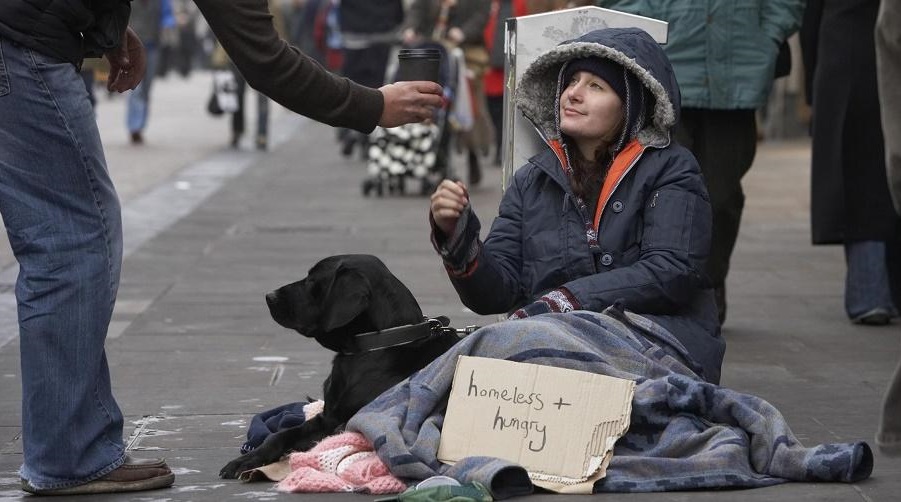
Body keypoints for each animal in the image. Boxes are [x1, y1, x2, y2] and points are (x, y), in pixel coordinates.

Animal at [216, 255, 458, 478]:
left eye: (312, 280)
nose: (269, 296)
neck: (375, 344)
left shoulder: (350, 421)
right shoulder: (327, 418)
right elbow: (280, 435)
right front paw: (246, 460)